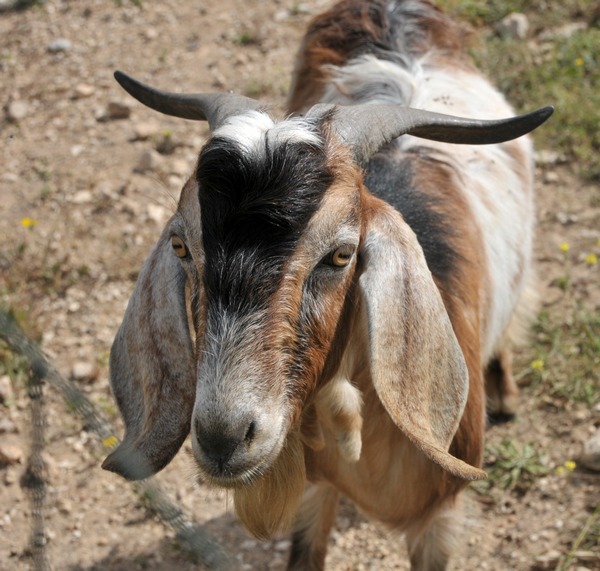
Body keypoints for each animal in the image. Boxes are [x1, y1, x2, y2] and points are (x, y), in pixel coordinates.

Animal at [102, 2, 552, 568]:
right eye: (181, 246)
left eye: (341, 255)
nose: (225, 438)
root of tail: (391, 13)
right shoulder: (313, 489)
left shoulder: (440, 518)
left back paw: (505, 393)